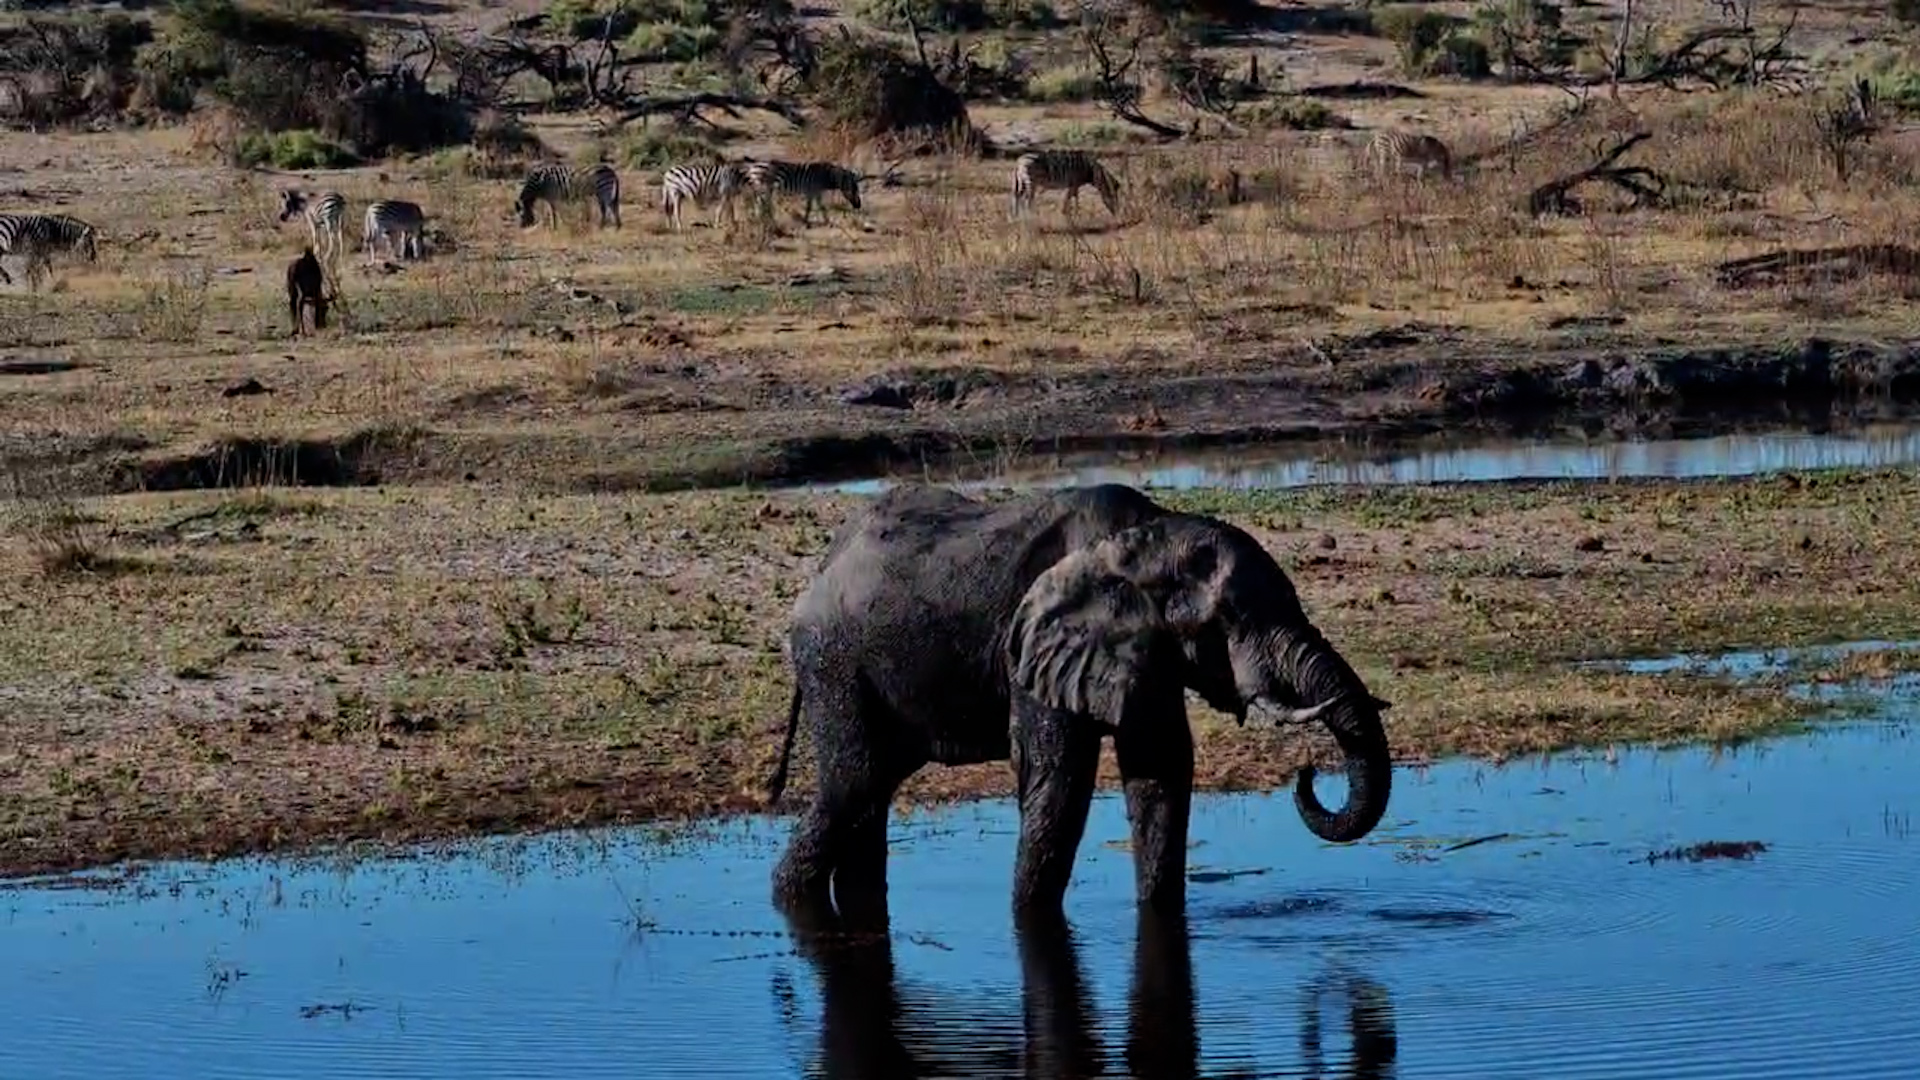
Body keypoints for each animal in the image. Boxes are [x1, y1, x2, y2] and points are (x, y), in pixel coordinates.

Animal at [766, 482, 1394, 918]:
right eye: (1230, 618)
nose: (1307, 771)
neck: (1145, 539)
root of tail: (822, 566)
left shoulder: (1147, 653)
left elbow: (1162, 774)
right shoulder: (1033, 648)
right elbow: (1060, 782)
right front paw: (1029, 920)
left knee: (871, 791)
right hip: (833, 661)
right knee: (854, 782)